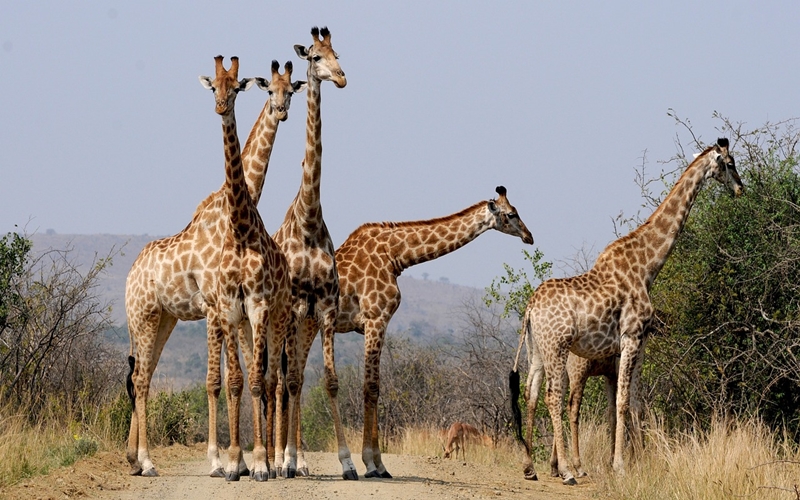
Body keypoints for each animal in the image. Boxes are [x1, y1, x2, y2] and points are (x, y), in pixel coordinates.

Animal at [124, 57, 302, 480]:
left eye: (291, 90)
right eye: (270, 90)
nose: (281, 111)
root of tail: (130, 274)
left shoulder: (227, 309)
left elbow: (234, 377)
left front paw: (241, 461)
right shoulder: (213, 307)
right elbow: (215, 381)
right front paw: (221, 461)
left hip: (163, 319)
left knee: (144, 374)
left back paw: (136, 459)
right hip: (143, 316)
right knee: (140, 378)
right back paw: (147, 461)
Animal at [335, 186, 533, 478]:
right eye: (511, 214)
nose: (529, 236)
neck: (396, 255)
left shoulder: (376, 323)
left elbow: (375, 387)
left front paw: (378, 464)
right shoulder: (375, 319)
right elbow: (371, 388)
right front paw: (373, 464)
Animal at [517, 138, 742, 485]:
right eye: (730, 164)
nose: (740, 189)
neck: (648, 265)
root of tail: (530, 307)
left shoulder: (634, 342)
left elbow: (632, 403)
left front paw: (634, 461)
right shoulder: (632, 336)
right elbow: (623, 402)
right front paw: (620, 465)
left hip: (537, 349)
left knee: (530, 394)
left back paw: (530, 467)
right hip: (557, 347)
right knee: (554, 398)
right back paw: (567, 470)